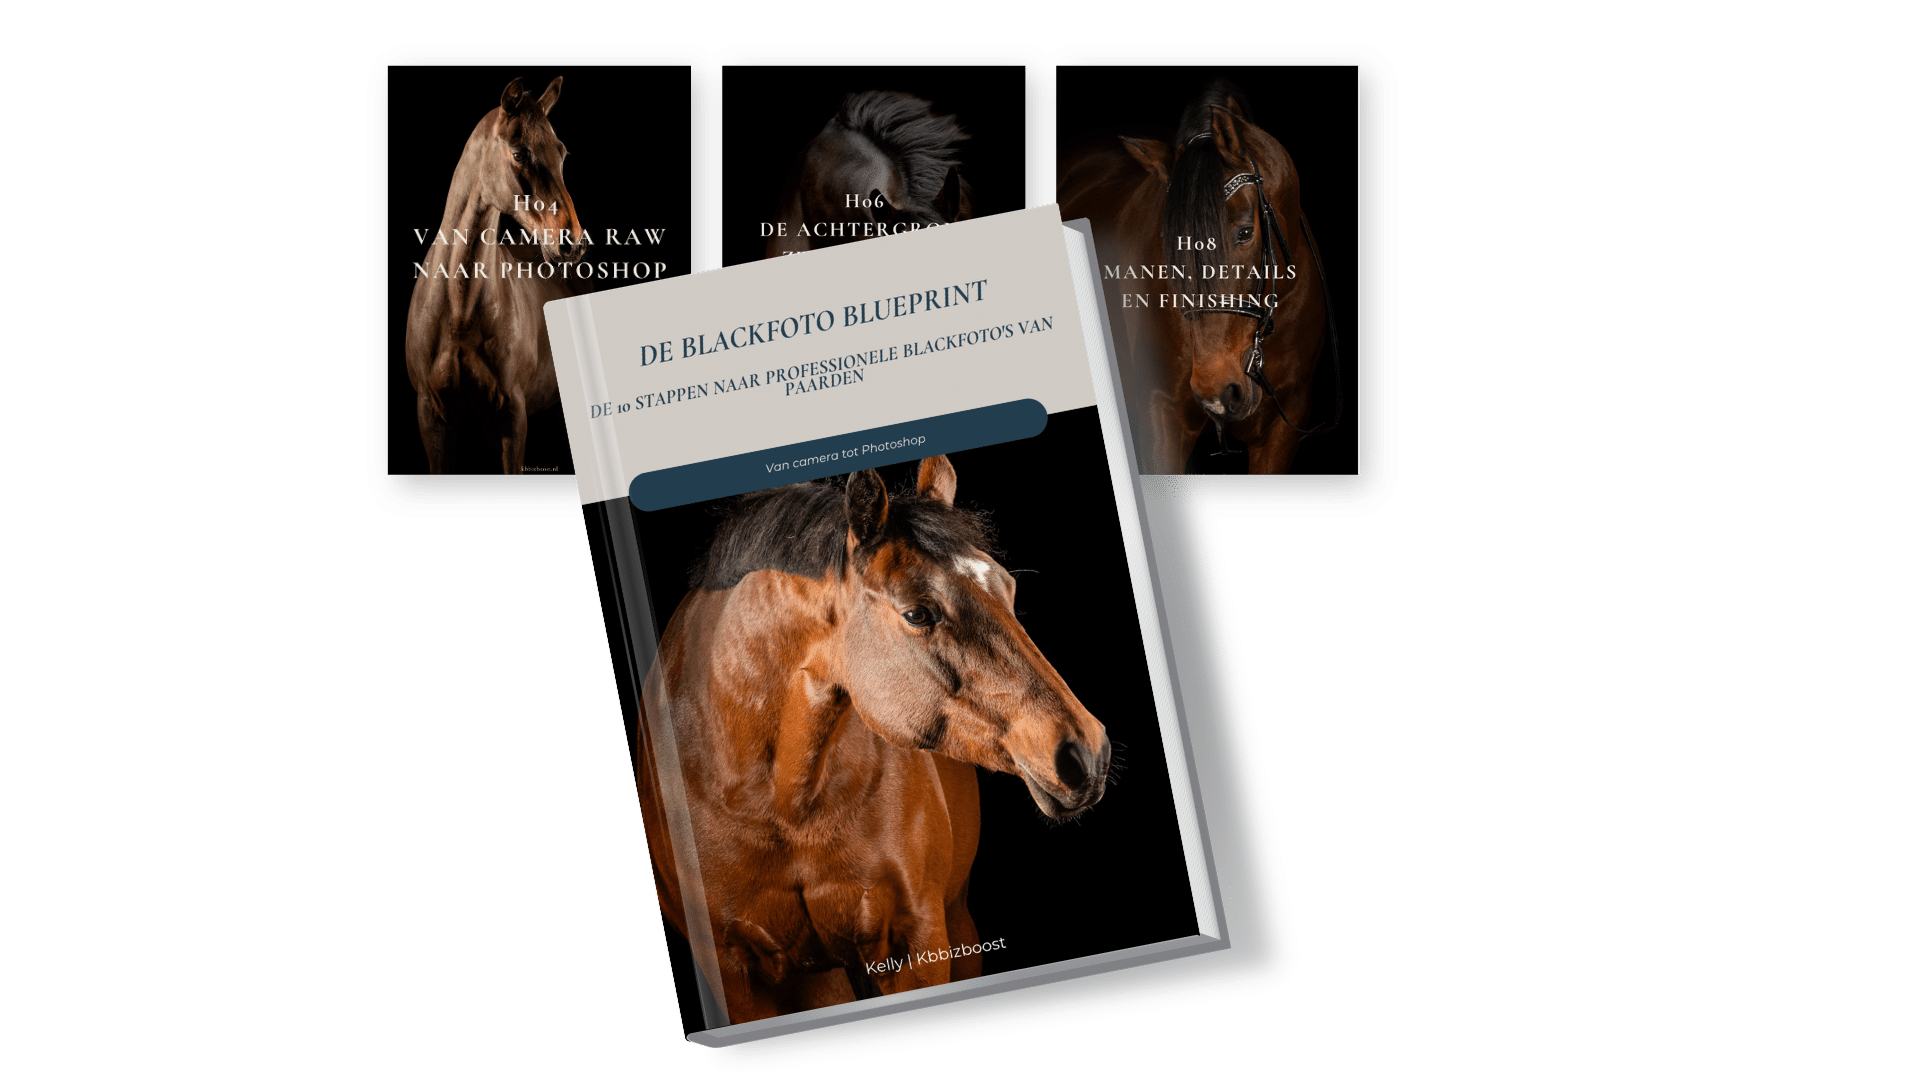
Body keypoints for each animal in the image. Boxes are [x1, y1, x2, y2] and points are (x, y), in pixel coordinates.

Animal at [404, 76, 586, 474]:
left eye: (562, 153)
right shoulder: (431, 417)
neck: (458, 311)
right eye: (519, 154)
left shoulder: (512, 418)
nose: (572, 242)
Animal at [636, 457, 1111, 1023]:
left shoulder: (916, 941)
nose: (1086, 752)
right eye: (918, 613)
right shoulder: (734, 976)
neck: (777, 803)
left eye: (1008, 590)